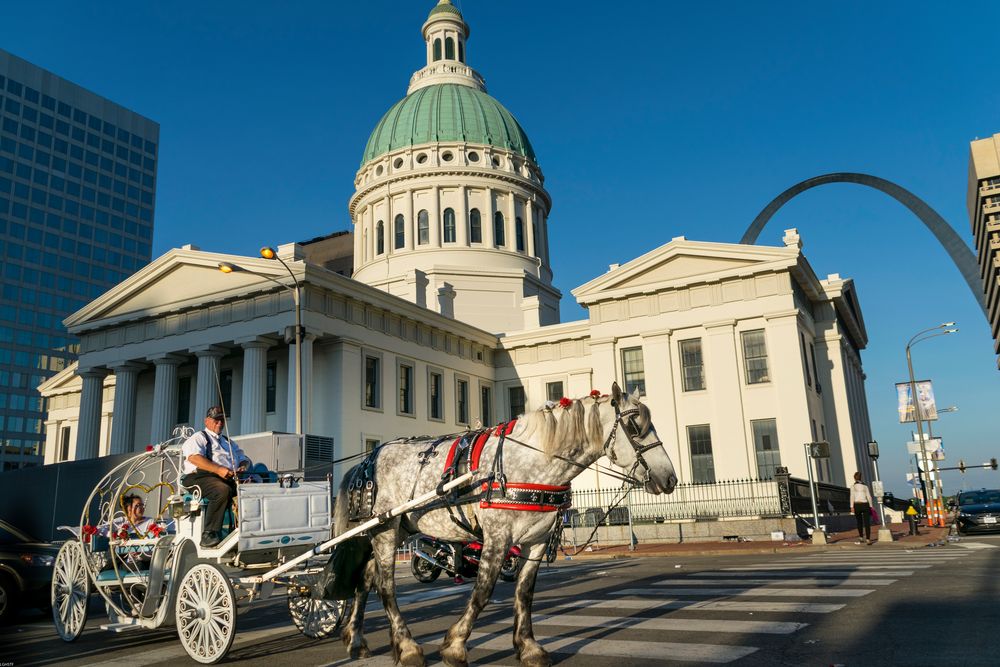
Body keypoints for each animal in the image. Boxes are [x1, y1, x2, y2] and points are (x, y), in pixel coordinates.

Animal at [332, 380, 676, 667]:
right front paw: (454, 646)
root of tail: (366, 460)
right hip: (385, 530)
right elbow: (483, 592)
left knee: (365, 580)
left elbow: (524, 592)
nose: (670, 478)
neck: (533, 462)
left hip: (390, 529)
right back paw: (407, 648)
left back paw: (356, 640)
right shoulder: (497, 537)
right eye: (635, 425)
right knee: (385, 586)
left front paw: (528, 647)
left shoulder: (536, 540)